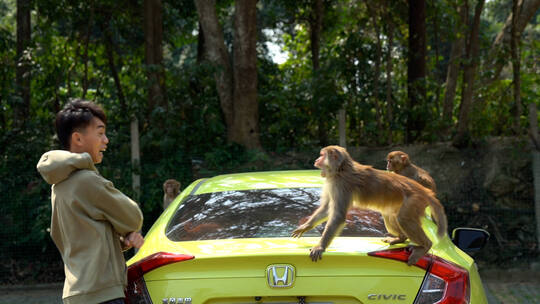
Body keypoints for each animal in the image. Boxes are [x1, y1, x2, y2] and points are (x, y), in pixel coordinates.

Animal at [292, 146, 448, 264]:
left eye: (322, 155)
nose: (316, 160)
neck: (341, 169)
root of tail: (425, 191)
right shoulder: (332, 183)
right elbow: (326, 209)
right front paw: (305, 226)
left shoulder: (341, 185)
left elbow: (338, 216)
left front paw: (320, 246)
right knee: (390, 215)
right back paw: (401, 238)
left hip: (414, 201)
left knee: (403, 218)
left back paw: (425, 246)